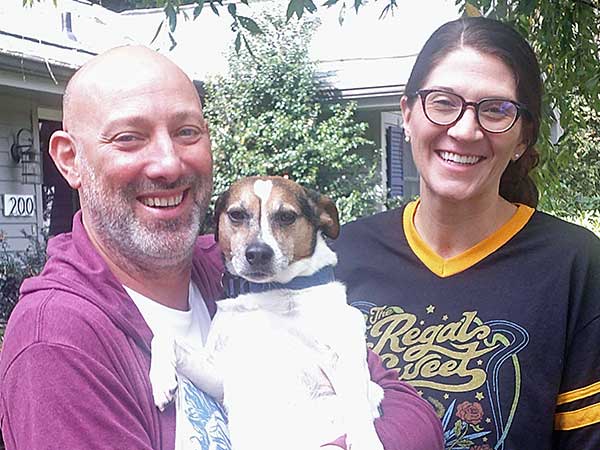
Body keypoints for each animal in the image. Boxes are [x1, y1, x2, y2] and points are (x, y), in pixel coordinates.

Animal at [151, 176, 384, 450]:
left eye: (286, 216)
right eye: (237, 214)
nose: (258, 253)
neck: (266, 293)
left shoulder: (343, 354)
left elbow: (358, 405)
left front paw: (366, 440)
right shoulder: (220, 374)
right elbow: (164, 338)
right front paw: (160, 379)